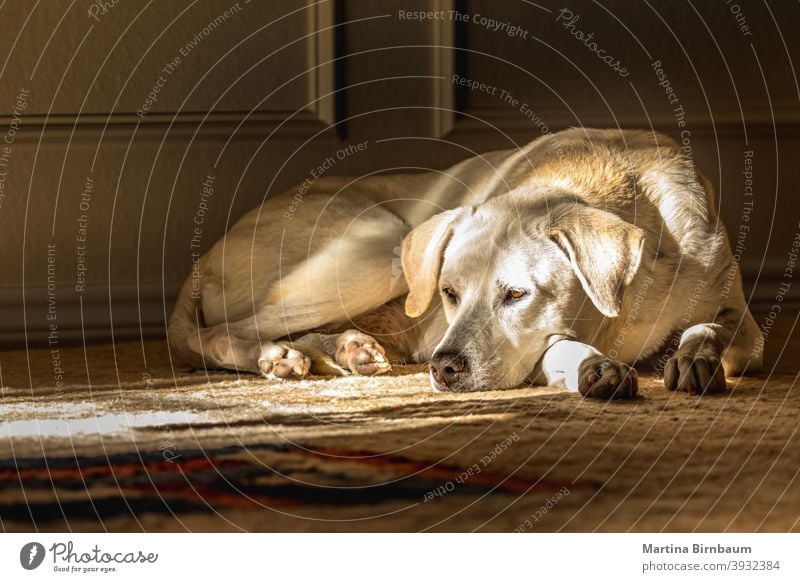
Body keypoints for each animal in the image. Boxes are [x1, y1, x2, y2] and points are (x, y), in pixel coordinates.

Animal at [169, 128, 764, 402]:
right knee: (219, 333)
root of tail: (202, 261)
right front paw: (597, 366)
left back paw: (349, 349)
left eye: (517, 295)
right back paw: (276, 357)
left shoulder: (738, 312)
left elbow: (716, 327)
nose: (443, 368)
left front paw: (694, 356)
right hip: (380, 250)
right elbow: (557, 348)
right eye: (449, 293)